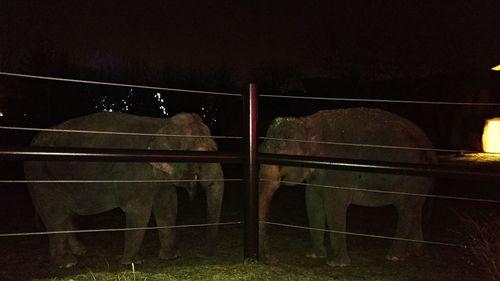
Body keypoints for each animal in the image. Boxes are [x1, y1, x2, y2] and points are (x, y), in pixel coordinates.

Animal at [24, 111, 225, 266]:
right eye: (203, 154)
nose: (203, 255)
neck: (161, 124)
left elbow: (168, 206)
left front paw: (171, 257)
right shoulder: (135, 173)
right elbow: (140, 211)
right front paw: (133, 263)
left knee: (66, 214)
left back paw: (80, 251)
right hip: (41, 176)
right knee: (55, 214)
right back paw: (67, 263)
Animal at [260, 107, 436, 266]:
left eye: (281, 153)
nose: (274, 259)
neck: (309, 123)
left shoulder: (339, 170)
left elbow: (333, 205)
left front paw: (336, 263)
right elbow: (312, 201)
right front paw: (314, 255)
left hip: (412, 180)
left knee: (406, 210)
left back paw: (394, 257)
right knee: (415, 209)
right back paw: (416, 252)